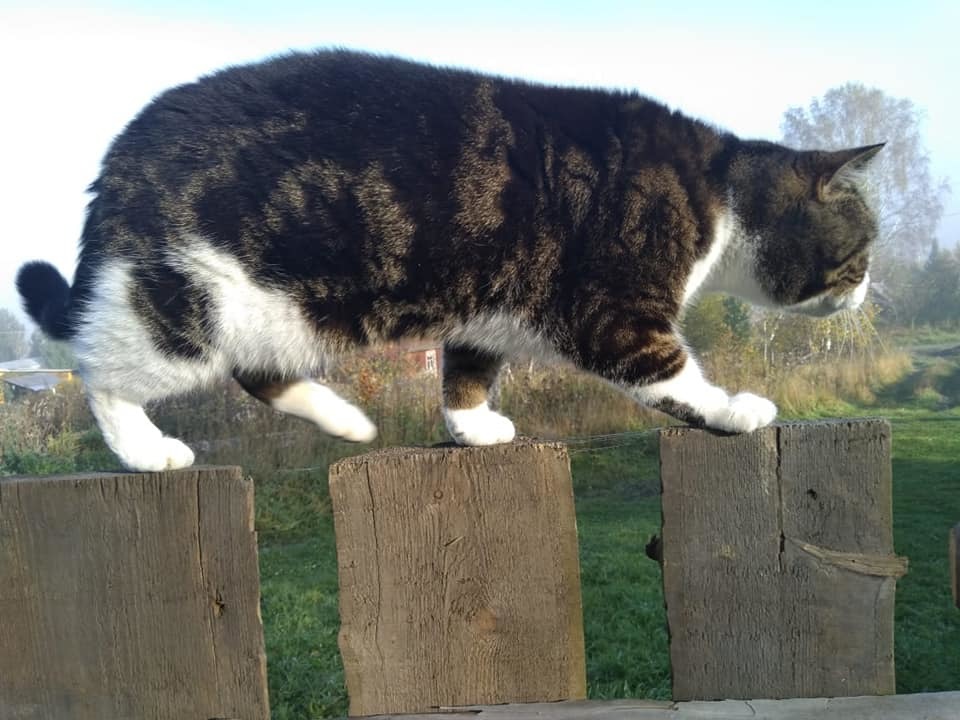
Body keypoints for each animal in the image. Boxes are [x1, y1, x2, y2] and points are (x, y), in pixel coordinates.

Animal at [15, 46, 884, 472]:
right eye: (861, 251)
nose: (870, 288)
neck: (718, 189)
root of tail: (120, 160)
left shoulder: (491, 306)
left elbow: (466, 369)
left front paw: (472, 429)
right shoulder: (612, 312)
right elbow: (671, 376)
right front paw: (737, 409)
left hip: (284, 312)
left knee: (257, 372)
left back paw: (350, 422)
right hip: (194, 304)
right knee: (103, 373)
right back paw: (146, 451)